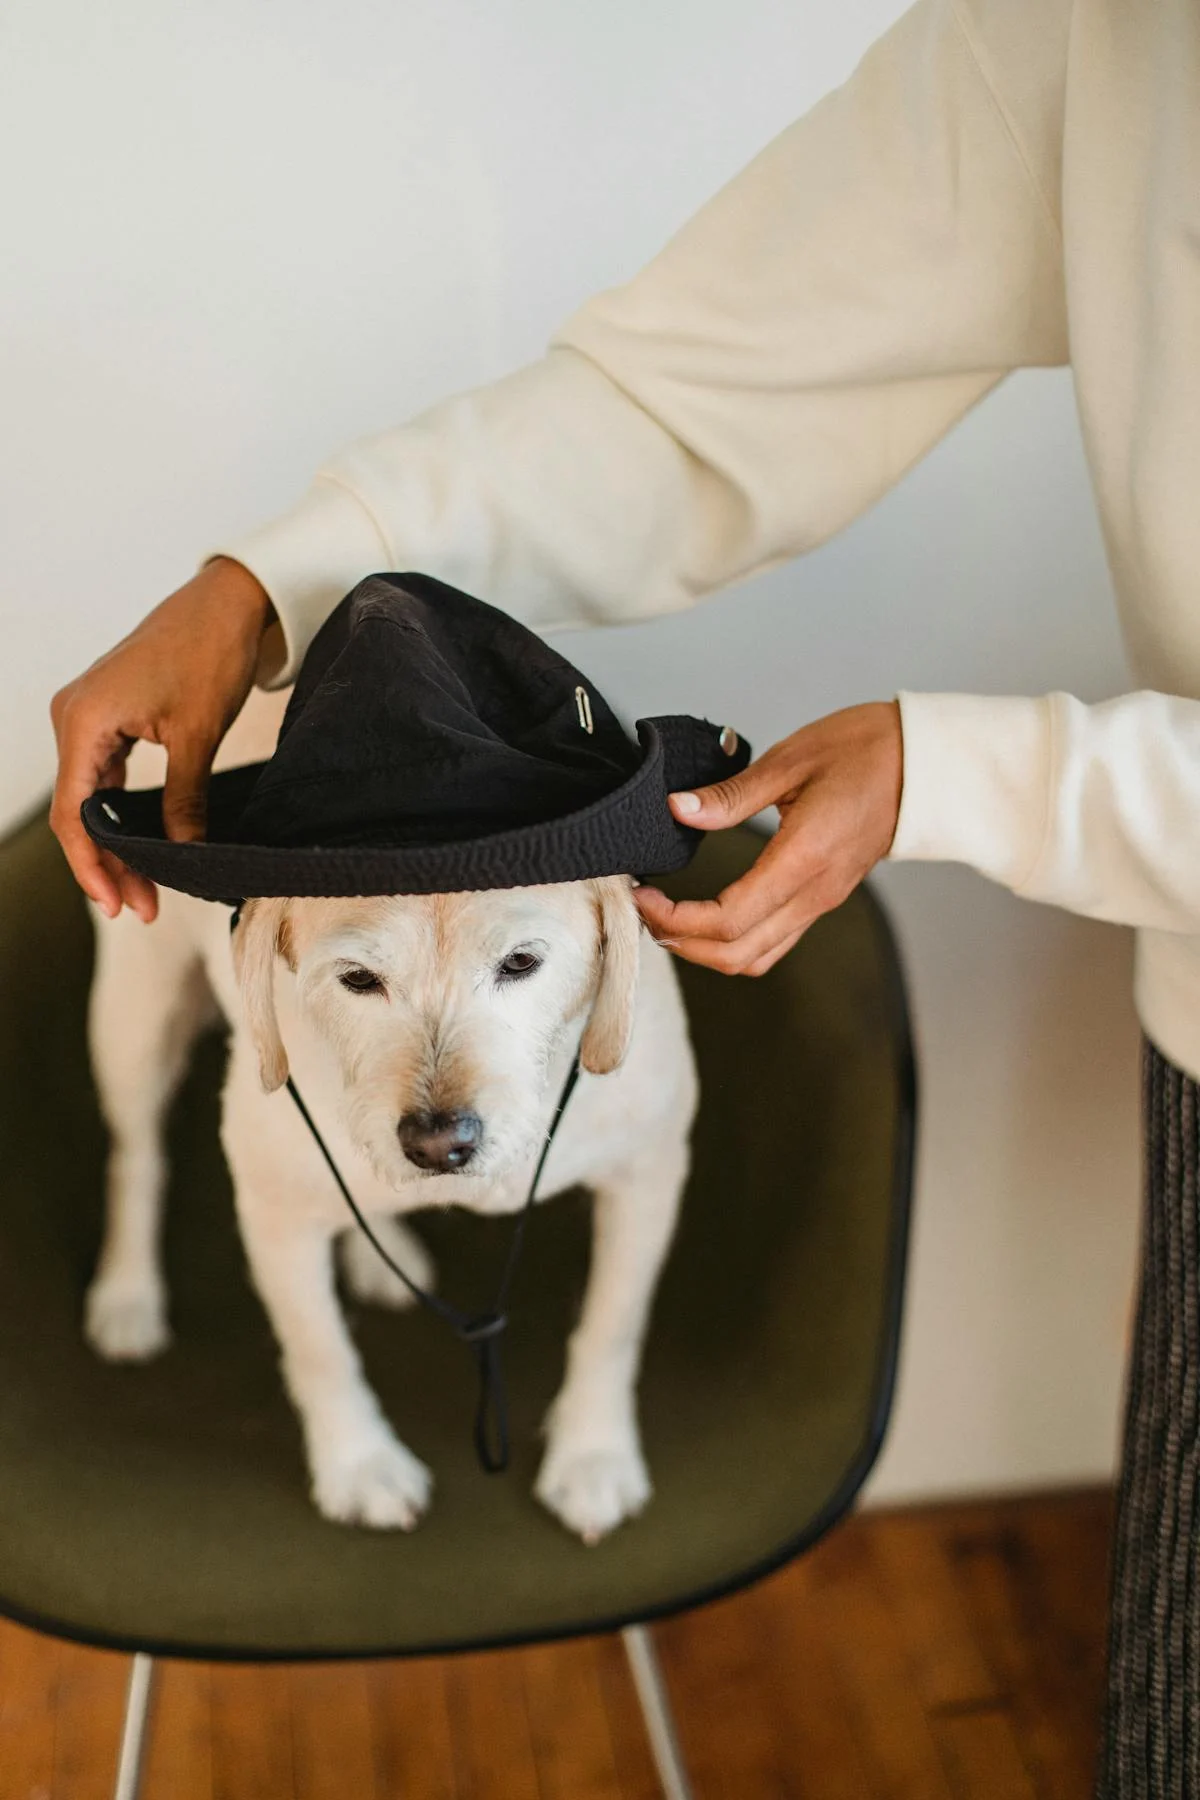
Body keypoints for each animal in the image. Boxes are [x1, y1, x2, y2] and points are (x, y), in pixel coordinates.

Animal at [82, 687, 694, 1548]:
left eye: (521, 962)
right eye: (358, 979)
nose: (438, 1145)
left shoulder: (648, 1175)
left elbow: (614, 1324)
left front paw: (593, 1454)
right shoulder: (274, 1215)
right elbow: (319, 1350)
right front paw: (358, 1465)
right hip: (136, 1018)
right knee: (136, 1157)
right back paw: (128, 1294)